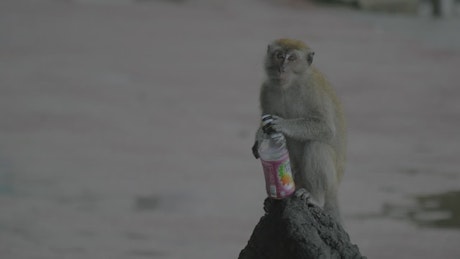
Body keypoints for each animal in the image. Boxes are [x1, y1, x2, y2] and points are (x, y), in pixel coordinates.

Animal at [253, 38, 346, 221]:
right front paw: (259, 138)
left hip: (331, 184)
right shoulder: (266, 89)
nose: (282, 68)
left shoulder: (313, 90)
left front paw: (282, 125)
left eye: (292, 58)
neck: (290, 85)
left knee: (317, 146)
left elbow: (326, 128)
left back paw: (316, 197)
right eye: (279, 56)